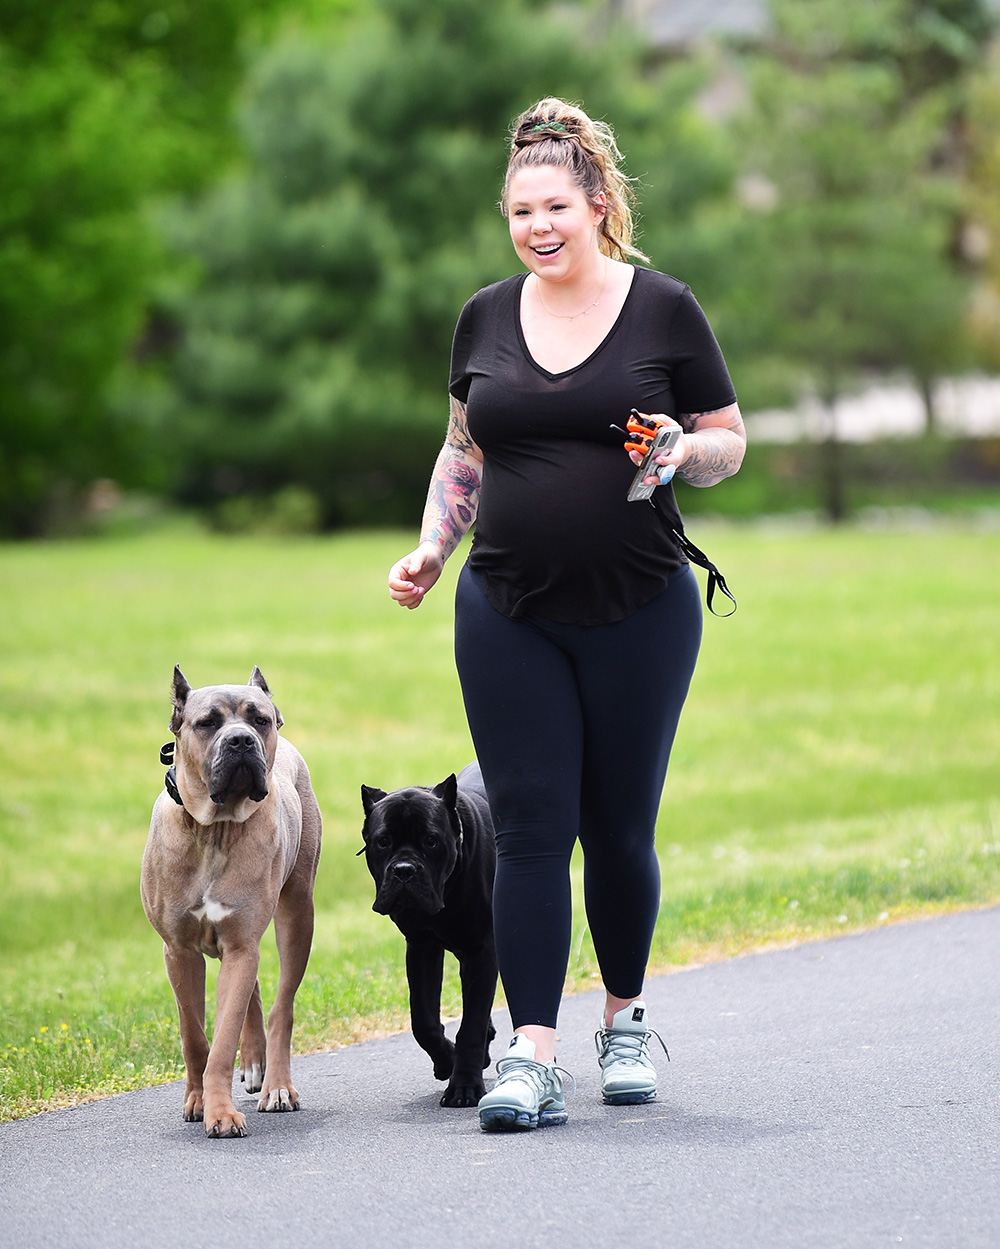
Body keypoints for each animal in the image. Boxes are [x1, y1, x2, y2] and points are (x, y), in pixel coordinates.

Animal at [140, 669, 318, 1139]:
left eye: (259, 720)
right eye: (207, 723)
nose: (240, 741)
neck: (213, 830)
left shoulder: (240, 944)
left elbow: (222, 1040)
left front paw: (220, 1112)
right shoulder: (178, 951)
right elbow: (194, 1034)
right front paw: (198, 1099)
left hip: (297, 914)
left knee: (280, 1006)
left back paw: (276, 1084)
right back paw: (254, 1061)